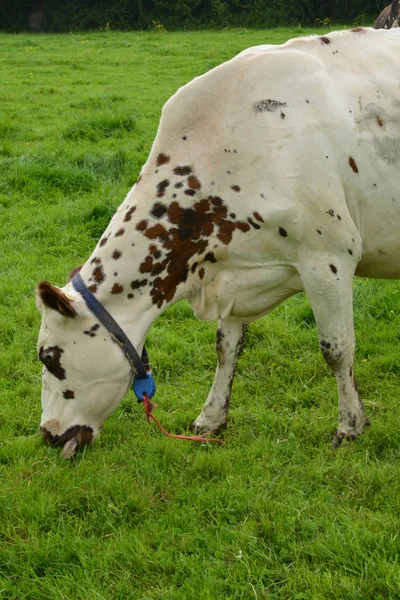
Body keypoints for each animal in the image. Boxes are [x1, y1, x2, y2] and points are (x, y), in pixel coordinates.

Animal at [38, 25, 400, 458]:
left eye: (48, 358)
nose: (47, 434)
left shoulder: (328, 258)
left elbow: (336, 348)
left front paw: (350, 425)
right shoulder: (233, 267)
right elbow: (226, 348)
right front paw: (210, 419)